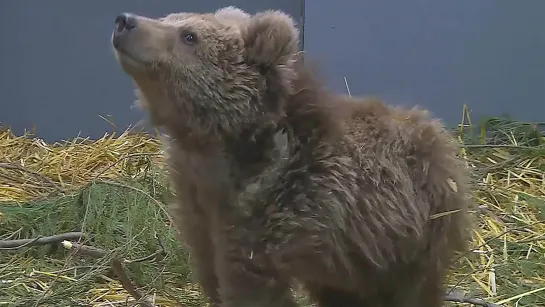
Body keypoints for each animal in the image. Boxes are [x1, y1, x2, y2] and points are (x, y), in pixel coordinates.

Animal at [110, 5, 472, 307]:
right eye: (169, 17)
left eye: (189, 35)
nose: (125, 20)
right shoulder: (198, 208)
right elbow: (210, 270)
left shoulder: (279, 208)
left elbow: (251, 286)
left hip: (409, 237)